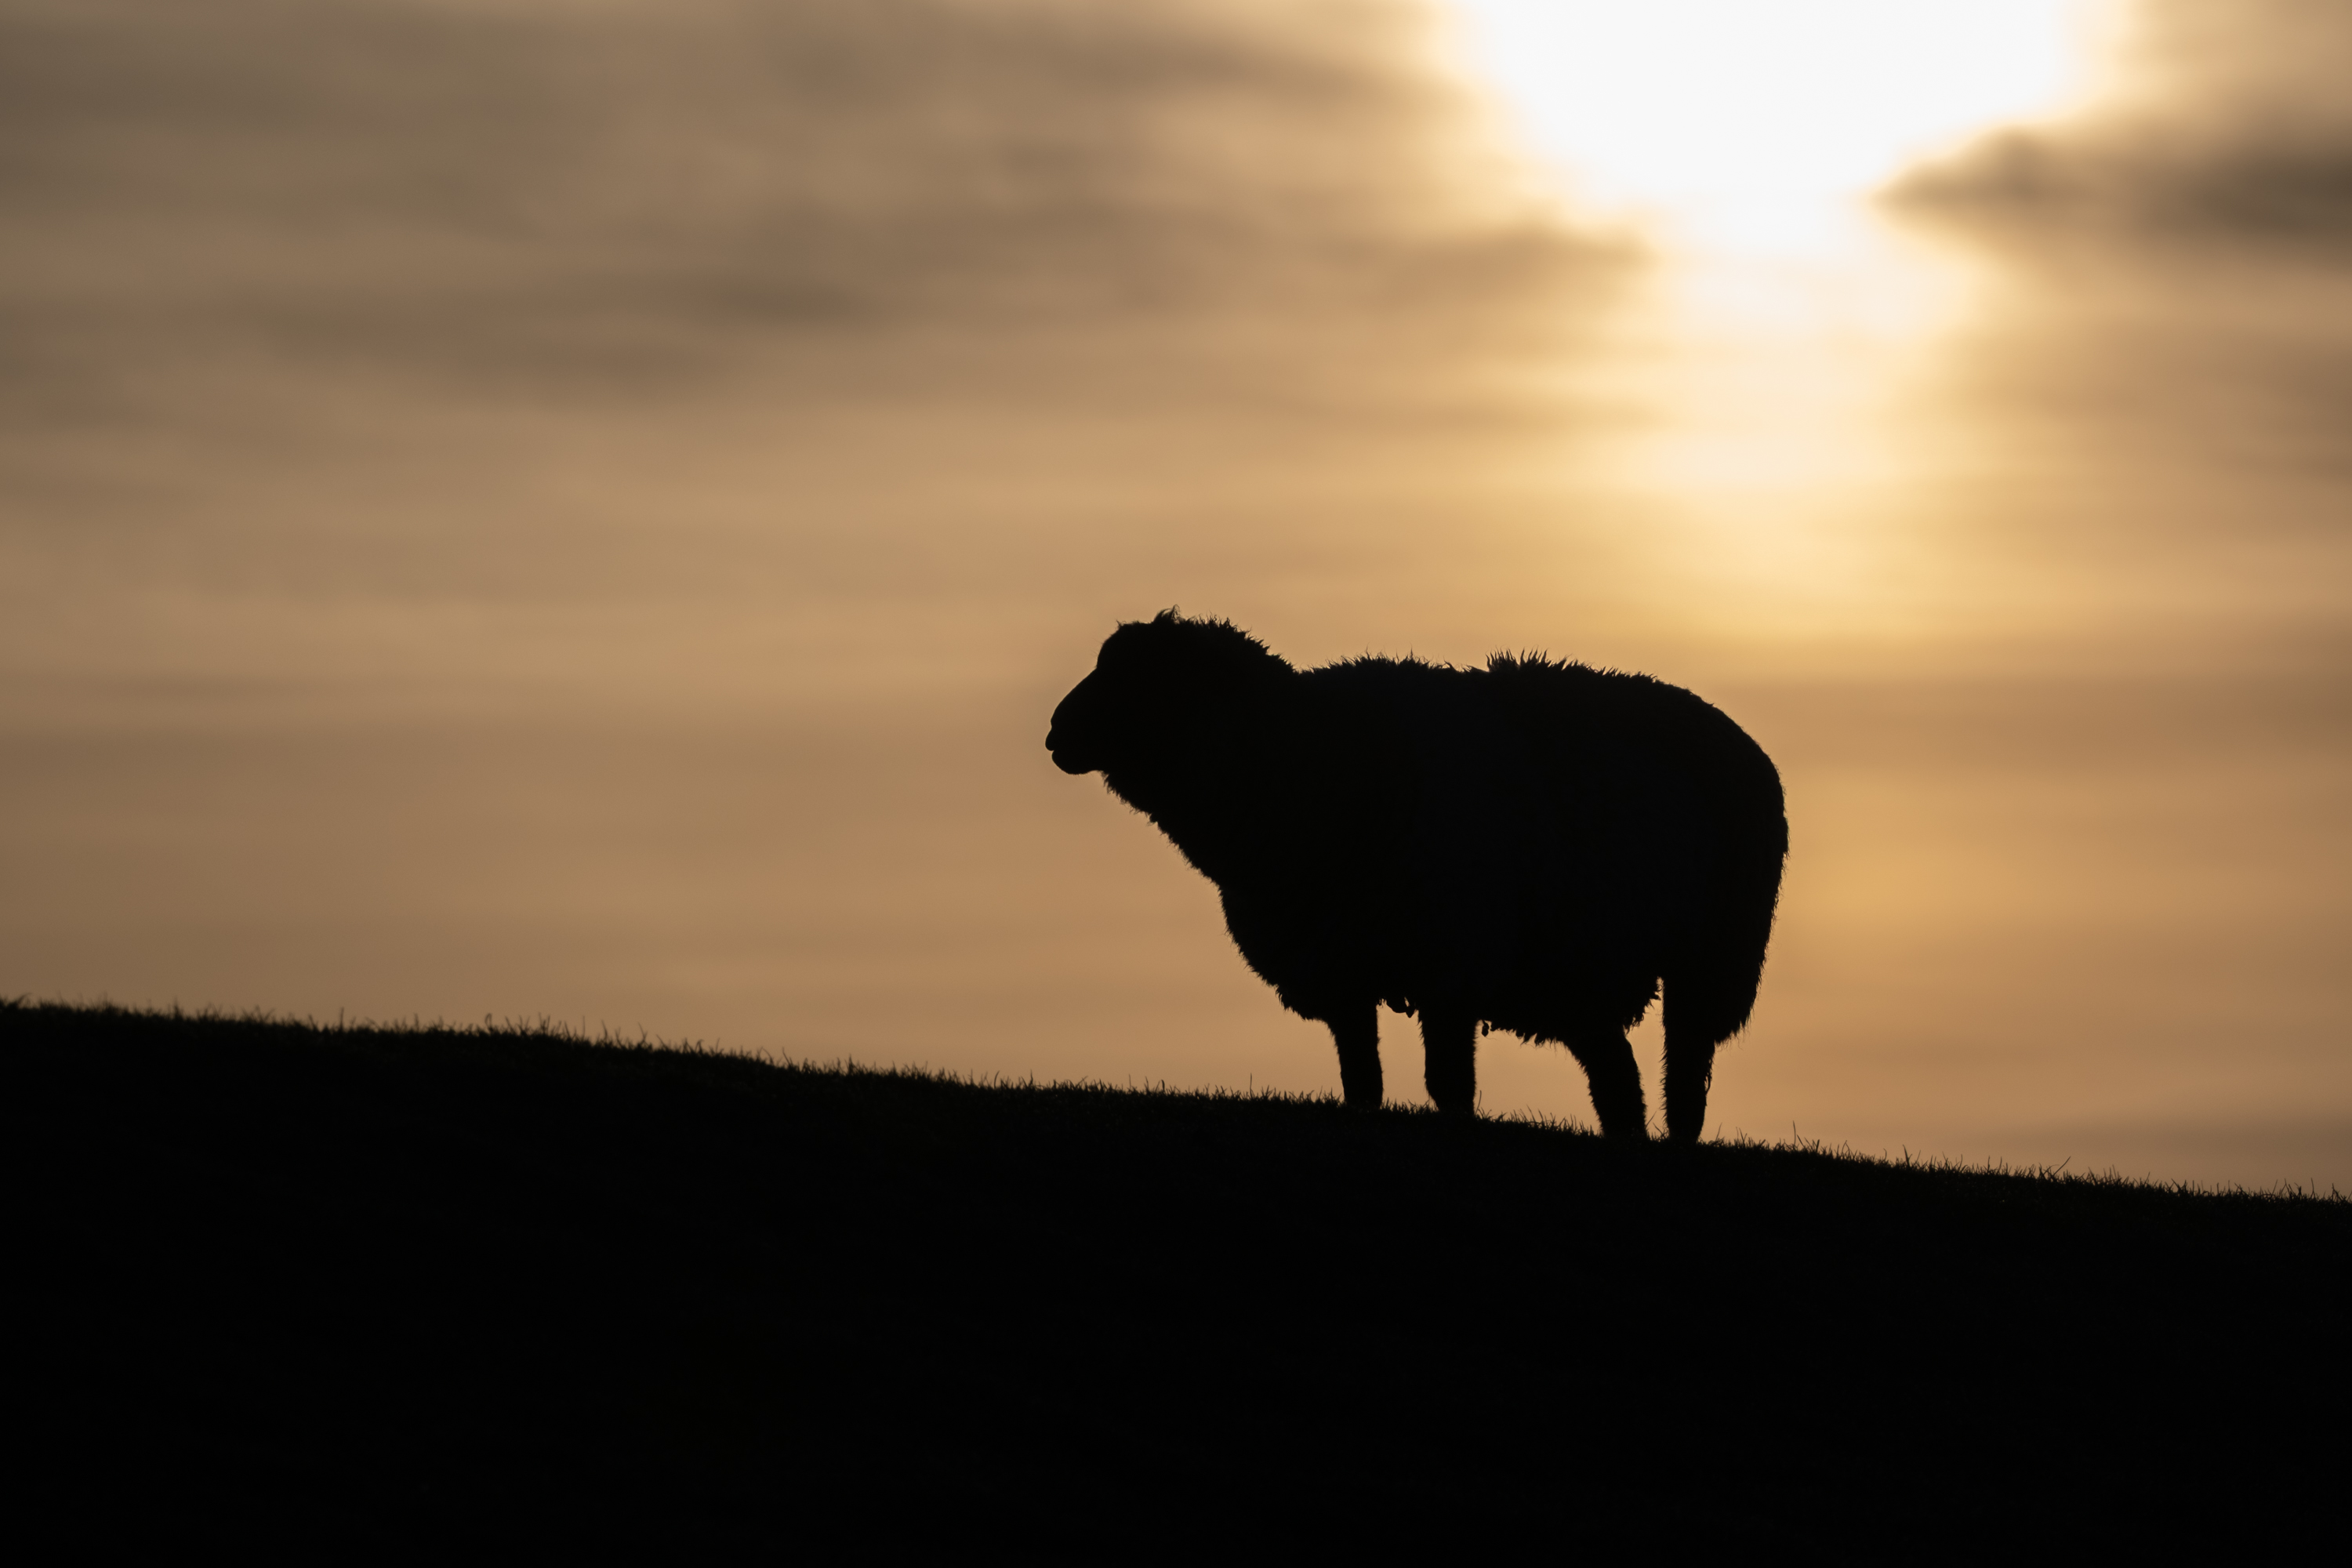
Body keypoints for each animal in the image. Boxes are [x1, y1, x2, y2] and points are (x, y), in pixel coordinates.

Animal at [1045, 611, 1787, 1141]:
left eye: (1139, 679)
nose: (1054, 734)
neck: (1307, 763)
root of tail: (1742, 739)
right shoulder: (1342, 968)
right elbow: (1362, 1082)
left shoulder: (1451, 966)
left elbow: (1448, 1085)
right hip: (1577, 973)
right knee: (1618, 1080)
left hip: (1712, 960)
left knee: (1683, 1074)